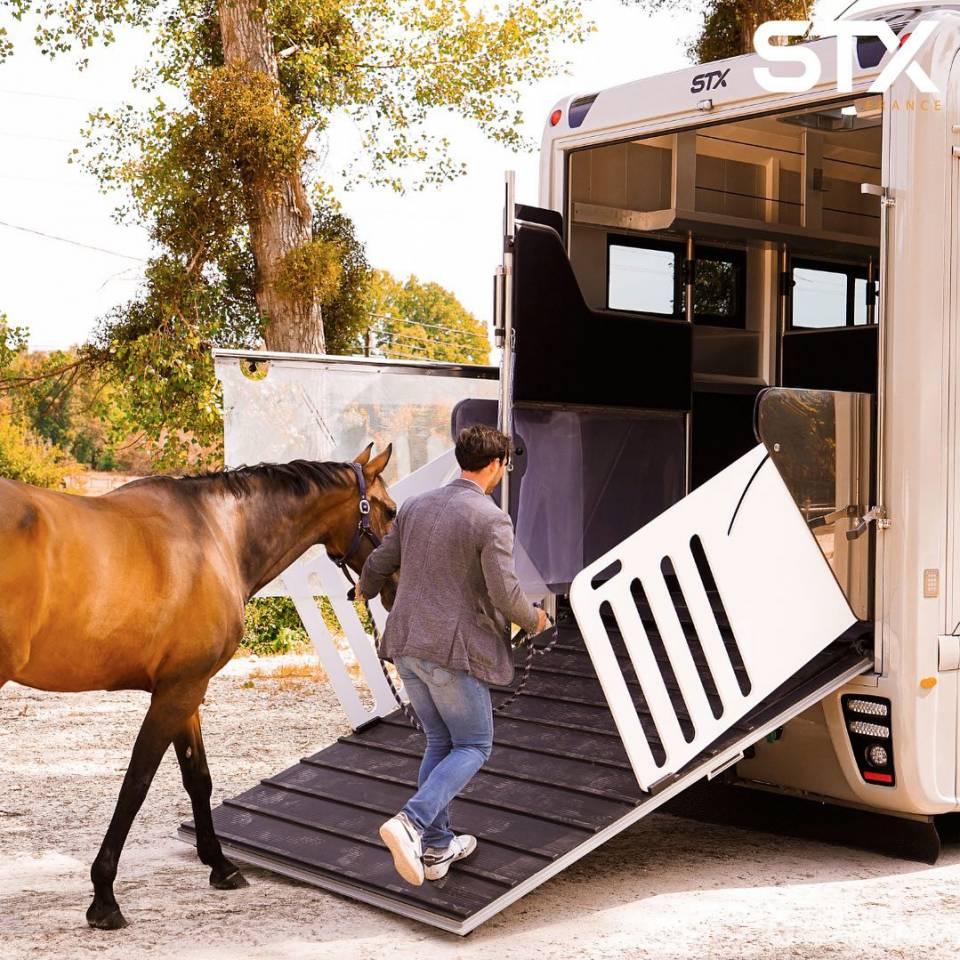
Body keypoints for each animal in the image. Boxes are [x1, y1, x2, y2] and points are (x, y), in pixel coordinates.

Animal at [0, 443, 396, 930]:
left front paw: (220, 865)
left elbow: (198, 779)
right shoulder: (178, 692)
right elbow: (136, 786)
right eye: (391, 511)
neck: (217, 533)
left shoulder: (186, 690)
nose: (396, 586)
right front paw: (104, 897)